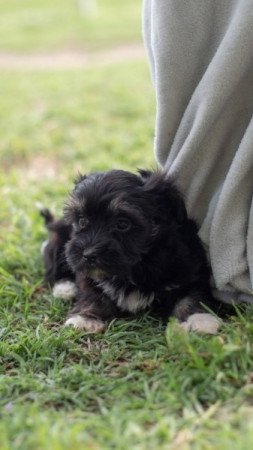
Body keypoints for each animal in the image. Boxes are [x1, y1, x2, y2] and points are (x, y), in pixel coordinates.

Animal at [40, 171, 220, 332]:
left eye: (122, 224)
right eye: (82, 221)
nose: (89, 255)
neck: (134, 267)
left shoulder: (189, 268)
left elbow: (190, 295)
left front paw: (197, 319)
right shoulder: (88, 273)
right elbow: (91, 292)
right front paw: (86, 318)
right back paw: (65, 287)